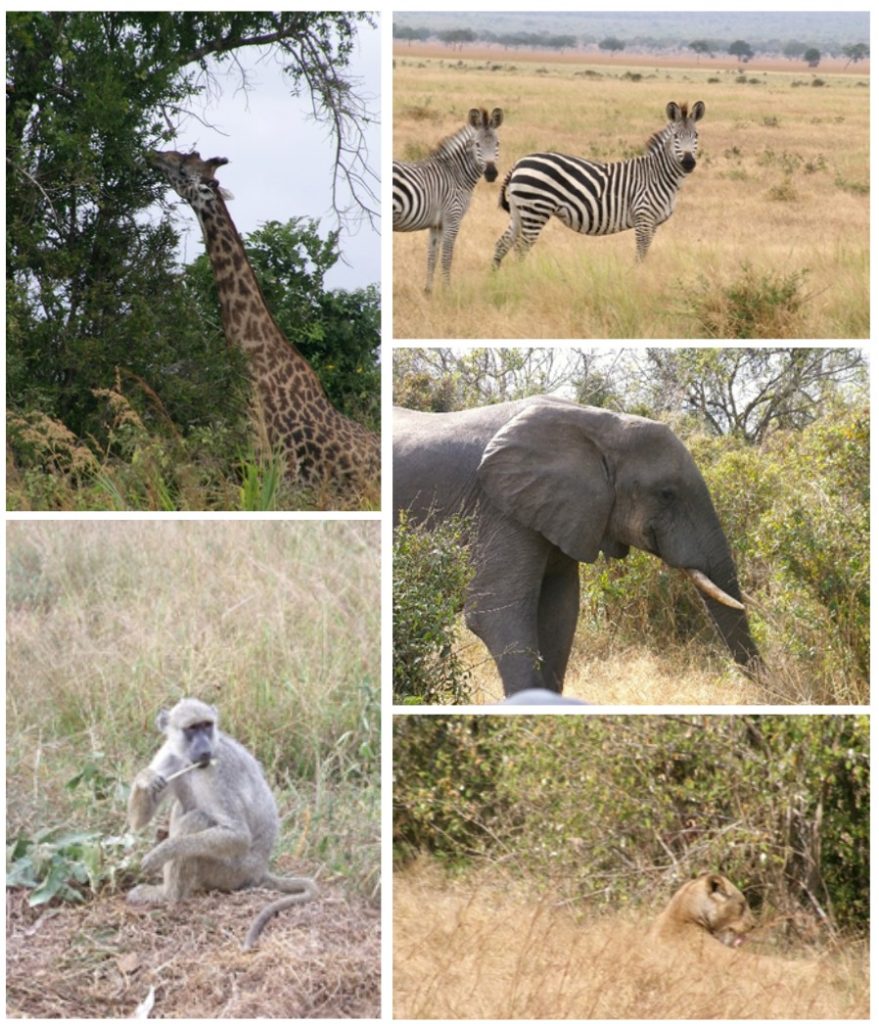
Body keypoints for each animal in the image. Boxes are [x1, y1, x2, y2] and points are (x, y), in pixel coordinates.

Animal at [393, 395, 761, 698]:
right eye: (666, 494)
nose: (761, 689)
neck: (598, 423)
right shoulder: (500, 509)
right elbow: (494, 612)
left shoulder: (562, 511)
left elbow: (561, 613)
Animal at [394, 107, 504, 293]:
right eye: (477, 144)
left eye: (497, 144)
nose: (491, 174)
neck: (455, 175)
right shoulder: (452, 218)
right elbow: (447, 256)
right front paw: (447, 290)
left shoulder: (436, 224)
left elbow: (432, 256)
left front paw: (428, 291)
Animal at [493, 101, 705, 269]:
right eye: (676, 137)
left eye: (696, 135)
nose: (688, 163)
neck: (658, 175)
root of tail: (519, 163)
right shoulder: (643, 218)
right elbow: (640, 254)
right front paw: (637, 277)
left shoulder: (653, 223)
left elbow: (643, 254)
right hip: (536, 210)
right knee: (521, 248)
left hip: (519, 211)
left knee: (502, 243)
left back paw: (496, 279)